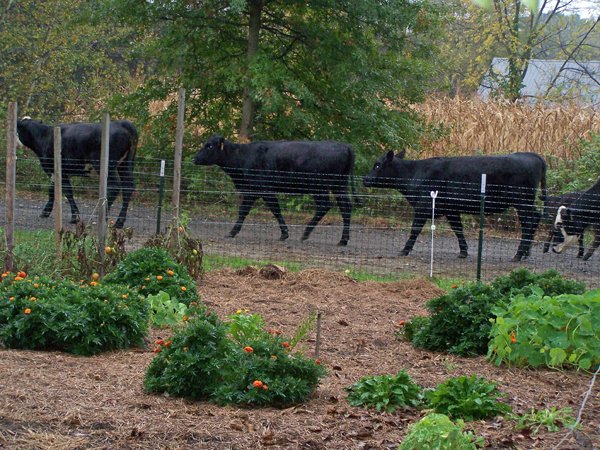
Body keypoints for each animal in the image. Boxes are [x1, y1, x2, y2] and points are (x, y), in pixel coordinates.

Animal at [195, 134, 358, 246]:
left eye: (209, 146)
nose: (194, 159)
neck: (243, 156)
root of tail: (345, 146)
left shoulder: (261, 190)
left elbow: (271, 210)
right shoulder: (254, 191)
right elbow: (251, 210)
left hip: (319, 187)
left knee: (325, 206)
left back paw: (305, 234)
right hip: (339, 186)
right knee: (345, 207)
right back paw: (343, 239)